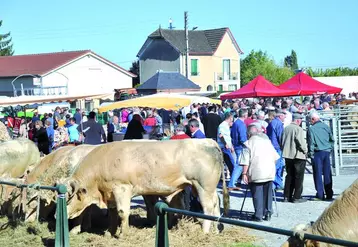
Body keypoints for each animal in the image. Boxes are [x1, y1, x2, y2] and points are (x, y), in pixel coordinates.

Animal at [64, 138, 228, 236]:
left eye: (68, 197)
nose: (60, 214)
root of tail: (208, 141)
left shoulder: (122, 188)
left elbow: (122, 212)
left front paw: (123, 234)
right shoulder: (110, 193)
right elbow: (112, 213)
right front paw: (110, 233)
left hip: (203, 187)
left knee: (207, 207)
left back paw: (205, 232)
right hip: (205, 188)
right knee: (216, 204)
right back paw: (215, 230)